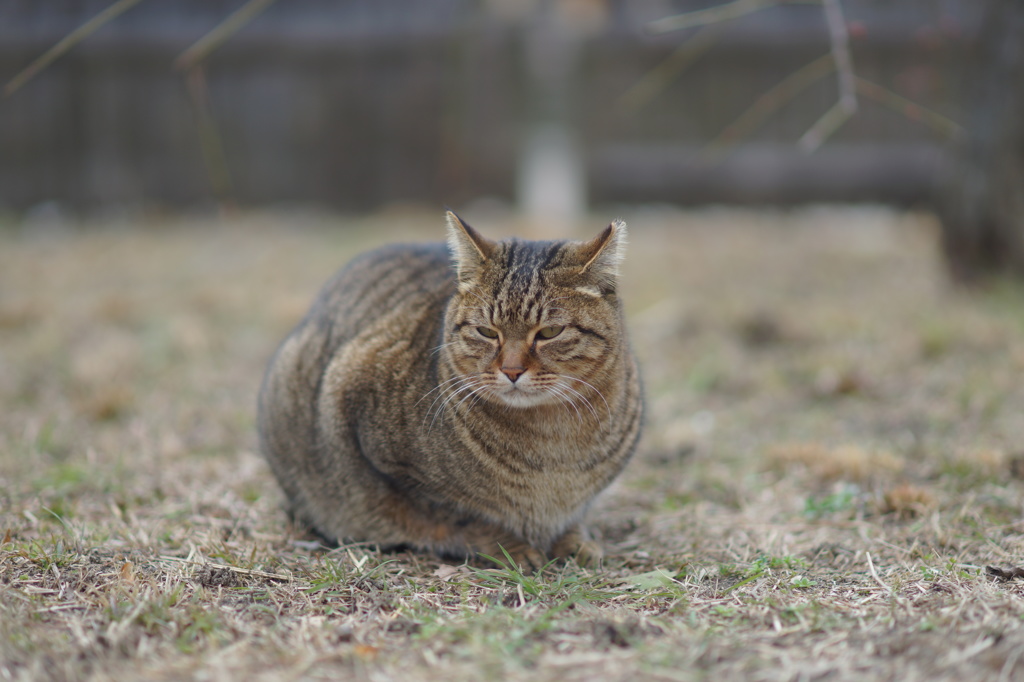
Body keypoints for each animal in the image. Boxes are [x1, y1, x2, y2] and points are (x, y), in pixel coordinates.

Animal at [256, 209, 638, 565]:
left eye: (549, 332)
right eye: (486, 332)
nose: (511, 371)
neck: (553, 441)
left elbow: (574, 516)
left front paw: (575, 540)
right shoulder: (392, 465)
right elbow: (465, 517)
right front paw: (511, 546)